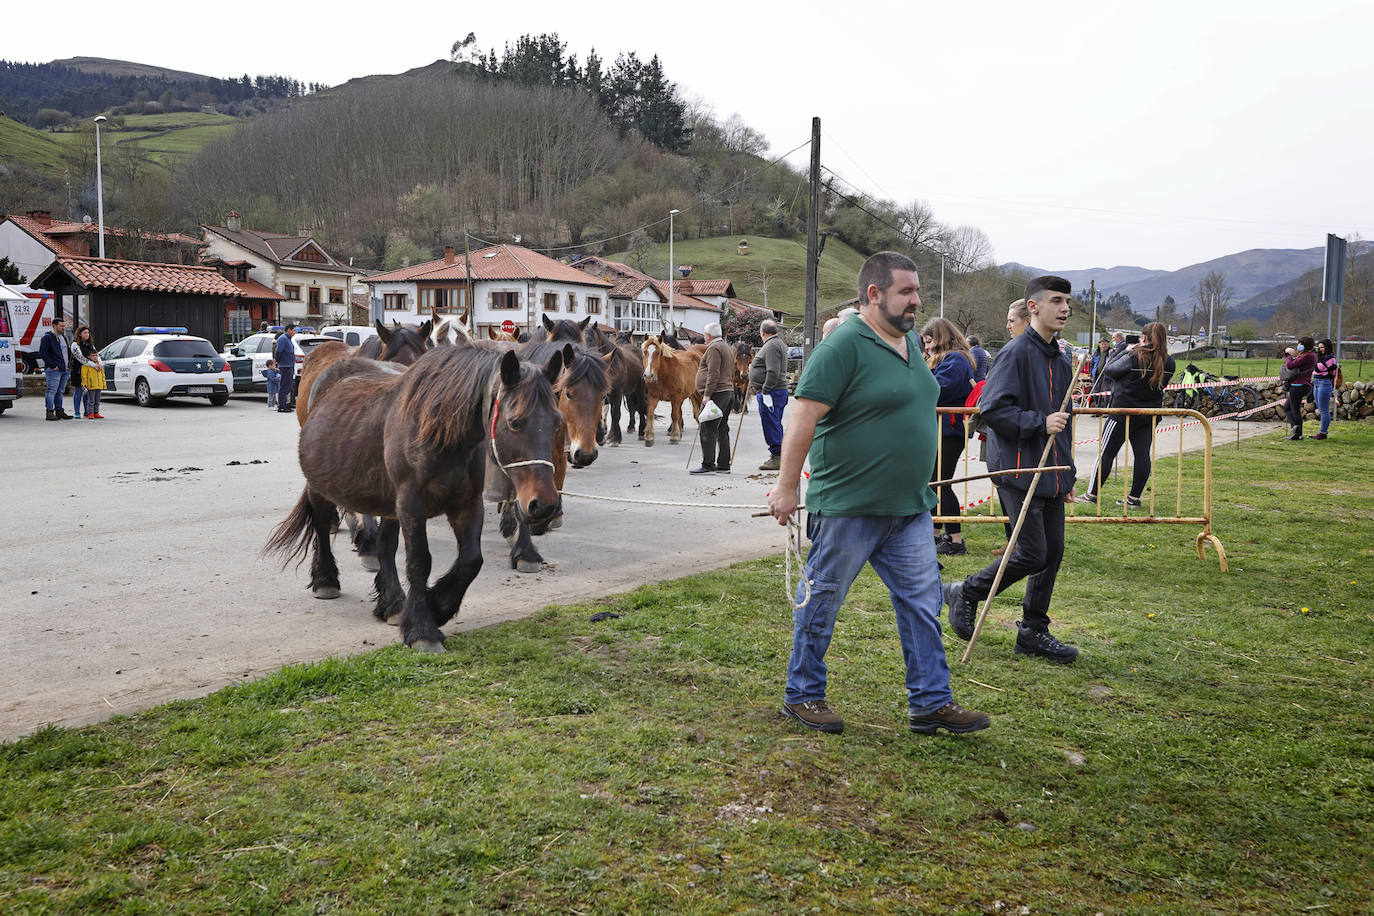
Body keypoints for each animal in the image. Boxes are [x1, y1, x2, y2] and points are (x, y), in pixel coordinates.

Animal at [265, 343, 566, 650]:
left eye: (557, 422)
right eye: (515, 423)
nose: (544, 505)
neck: (441, 436)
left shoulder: (467, 504)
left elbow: (471, 560)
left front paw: (438, 606)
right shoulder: (412, 505)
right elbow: (419, 561)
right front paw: (422, 629)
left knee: (384, 546)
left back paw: (393, 603)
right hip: (321, 488)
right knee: (322, 526)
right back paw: (326, 580)